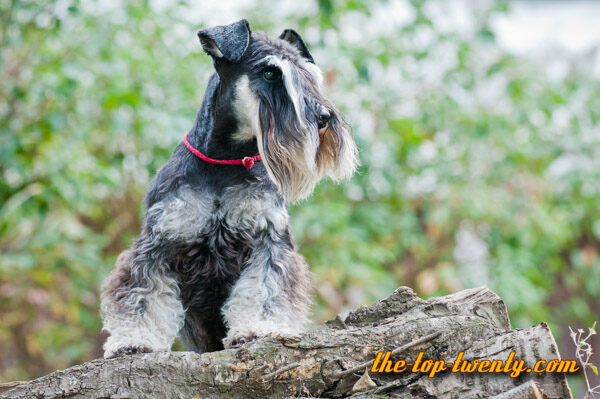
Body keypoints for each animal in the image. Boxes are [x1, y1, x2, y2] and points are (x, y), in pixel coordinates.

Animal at [101, 19, 358, 360]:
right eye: (270, 73)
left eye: (310, 75)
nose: (324, 118)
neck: (226, 160)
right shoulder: (159, 240)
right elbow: (142, 293)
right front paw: (135, 340)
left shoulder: (267, 238)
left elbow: (265, 288)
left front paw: (259, 328)